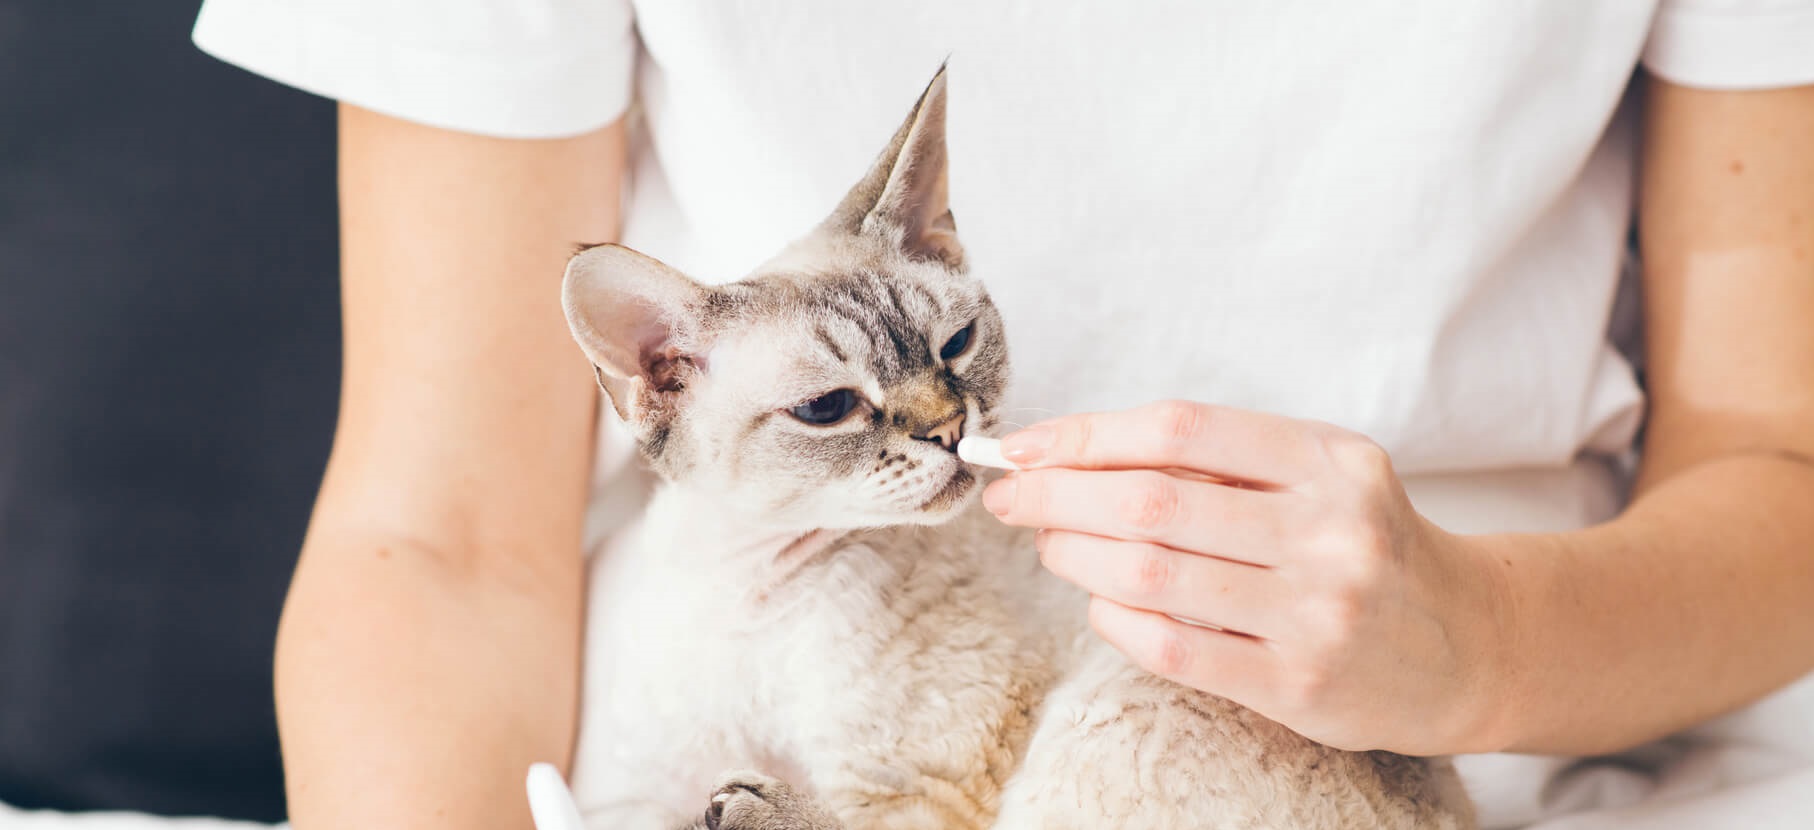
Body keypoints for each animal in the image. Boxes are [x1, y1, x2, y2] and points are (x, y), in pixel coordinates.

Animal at [558, 69, 1480, 830]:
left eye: (956, 345)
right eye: (828, 409)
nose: (948, 429)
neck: (748, 585)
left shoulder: (912, 792)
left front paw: (748, 804)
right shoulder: (625, 795)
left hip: (1116, 708)